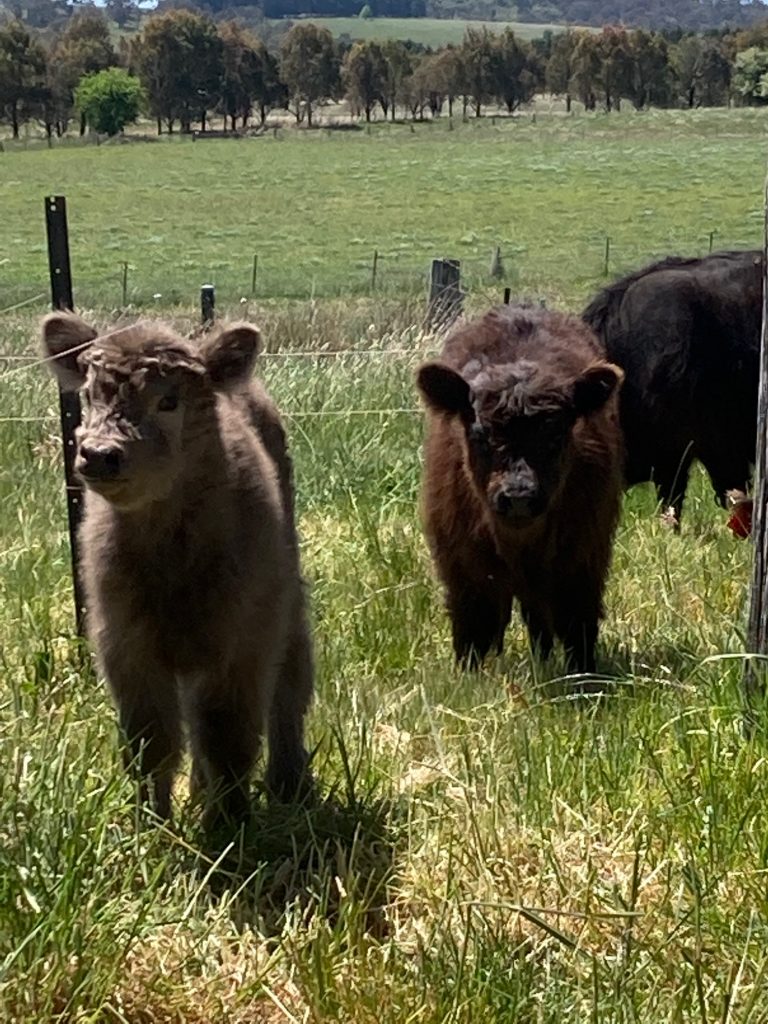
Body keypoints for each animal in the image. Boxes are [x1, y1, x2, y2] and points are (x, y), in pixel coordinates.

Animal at [40, 312, 314, 829]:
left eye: (169, 400)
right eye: (88, 395)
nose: (99, 454)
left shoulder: (240, 643)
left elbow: (228, 737)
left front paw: (230, 825)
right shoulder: (127, 646)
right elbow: (151, 743)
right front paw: (152, 825)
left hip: (286, 602)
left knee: (290, 686)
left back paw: (288, 785)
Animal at [416, 304, 624, 676]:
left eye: (556, 435)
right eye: (480, 435)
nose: (518, 497)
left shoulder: (585, 558)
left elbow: (577, 623)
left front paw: (583, 678)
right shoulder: (462, 565)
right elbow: (474, 626)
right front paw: (468, 679)